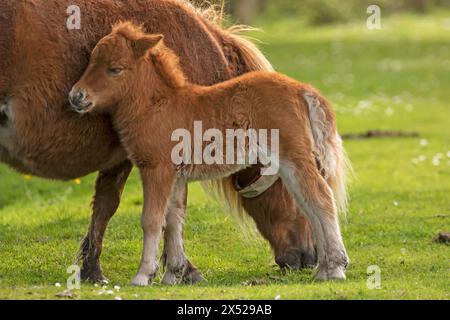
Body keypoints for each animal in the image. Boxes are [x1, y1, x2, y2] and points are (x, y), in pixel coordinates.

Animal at [71, 22, 352, 284]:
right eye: (91, 61)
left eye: (115, 69)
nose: (76, 96)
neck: (158, 107)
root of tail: (301, 89)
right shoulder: (177, 176)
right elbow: (174, 219)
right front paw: (172, 276)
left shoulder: (157, 169)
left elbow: (152, 220)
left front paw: (143, 276)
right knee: (309, 203)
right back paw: (324, 268)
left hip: (293, 158)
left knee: (321, 198)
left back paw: (335, 268)